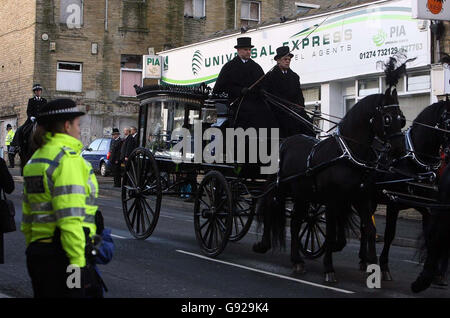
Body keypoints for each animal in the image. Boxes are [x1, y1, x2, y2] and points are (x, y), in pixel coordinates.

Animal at [358, 99, 450, 280]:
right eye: (449, 121)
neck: (414, 161)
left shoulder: (426, 206)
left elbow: (429, 235)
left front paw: (433, 272)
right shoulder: (393, 202)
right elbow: (389, 234)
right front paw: (384, 267)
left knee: (366, 225)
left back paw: (364, 259)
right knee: (366, 225)